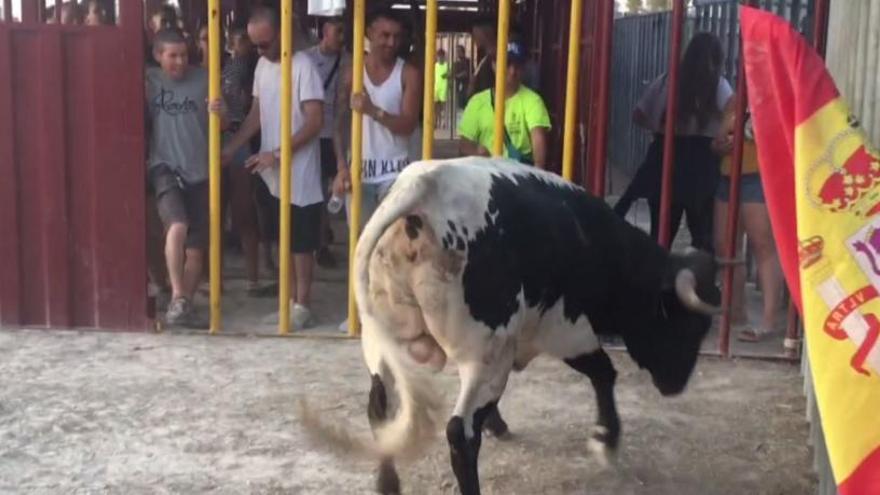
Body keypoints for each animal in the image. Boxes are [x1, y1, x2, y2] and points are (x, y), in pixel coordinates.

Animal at [300, 157, 720, 494]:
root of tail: (421, 189)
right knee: (459, 432)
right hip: (484, 354)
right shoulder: (565, 330)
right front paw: (606, 438)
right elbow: (604, 372)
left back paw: (388, 484)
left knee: (381, 412)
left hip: (384, 343)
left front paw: (498, 423)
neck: (591, 240)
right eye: (688, 326)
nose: (675, 384)